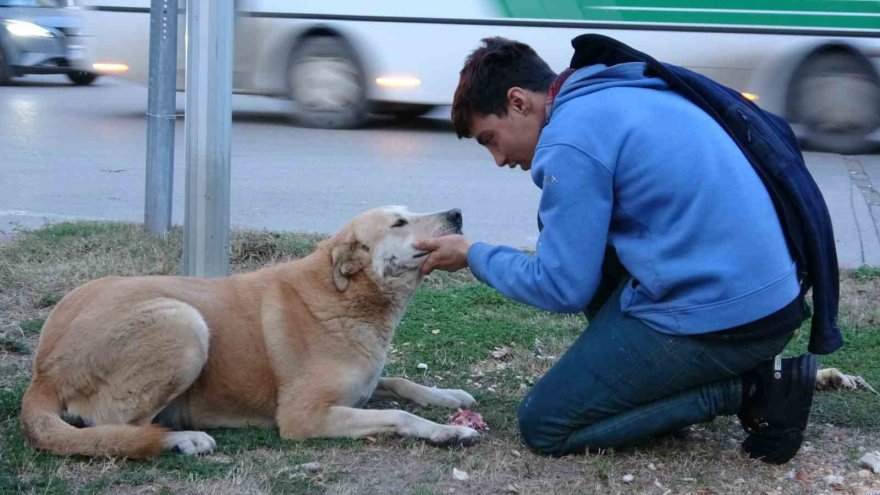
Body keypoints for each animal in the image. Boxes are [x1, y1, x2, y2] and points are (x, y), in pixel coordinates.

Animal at [18, 207, 482, 460]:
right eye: (400, 222)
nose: (458, 213)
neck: (348, 296)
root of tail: (44, 370)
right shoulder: (304, 417)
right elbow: (400, 416)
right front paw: (448, 432)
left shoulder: (366, 384)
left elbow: (401, 382)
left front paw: (448, 397)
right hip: (185, 323)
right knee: (115, 429)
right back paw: (183, 439)